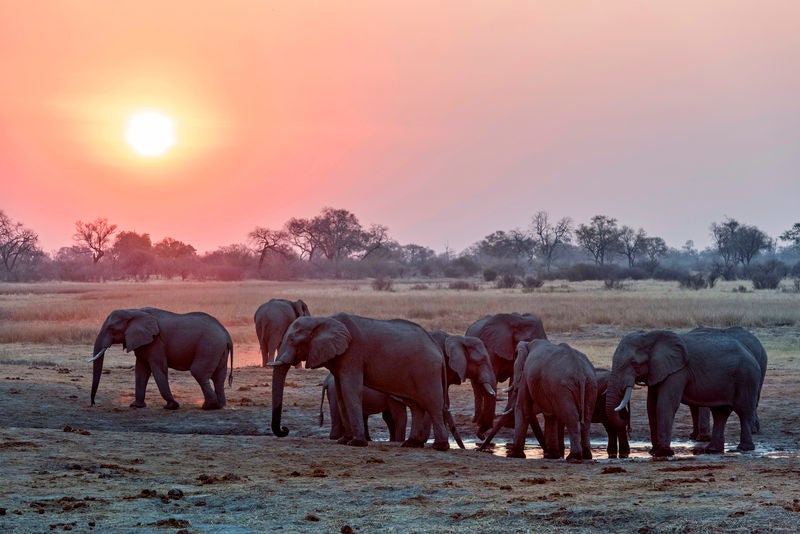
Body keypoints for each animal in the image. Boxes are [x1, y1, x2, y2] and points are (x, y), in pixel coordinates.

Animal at [92, 308, 234, 412]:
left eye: (111, 328)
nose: (93, 403)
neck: (133, 311)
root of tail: (227, 334)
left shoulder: (156, 342)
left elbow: (158, 369)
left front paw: (171, 406)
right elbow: (141, 372)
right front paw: (136, 406)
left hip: (209, 346)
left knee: (199, 372)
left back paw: (208, 407)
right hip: (218, 349)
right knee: (218, 377)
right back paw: (221, 406)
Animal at [268, 314, 462, 452]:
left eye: (292, 340)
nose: (284, 429)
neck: (322, 319)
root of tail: (437, 349)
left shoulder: (353, 353)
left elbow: (350, 390)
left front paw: (356, 443)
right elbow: (341, 393)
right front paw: (344, 441)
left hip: (426, 371)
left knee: (432, 404)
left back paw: (440, 447)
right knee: (416, 406)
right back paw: (411, 444)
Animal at [608, 328, 764, 458]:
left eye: (634, 363)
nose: (628, 428)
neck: (651, 336)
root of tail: (751, 353)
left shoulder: (678, 372)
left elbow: (665, 404)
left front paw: (663, 453)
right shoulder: (657, 371)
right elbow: (651, 407)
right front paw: (653, 452)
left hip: (746, 378)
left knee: (743, 411)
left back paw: (743, 449)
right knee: (720, 413)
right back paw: (713, 450)